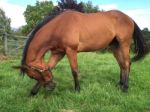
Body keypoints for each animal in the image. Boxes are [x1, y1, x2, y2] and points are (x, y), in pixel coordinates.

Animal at [14, 9, 148, 96]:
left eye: (32, 75)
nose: (51, 86)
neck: (59, 27)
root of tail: (129, 18)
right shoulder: (58, 53)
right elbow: (50, 67)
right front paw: (33, 92)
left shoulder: (71, 51)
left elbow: (74, 71)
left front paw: (77, 90)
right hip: (115, 47)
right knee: (122, 64)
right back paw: (120, 84)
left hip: (124, 44)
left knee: (126, 63)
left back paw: (125, 88)